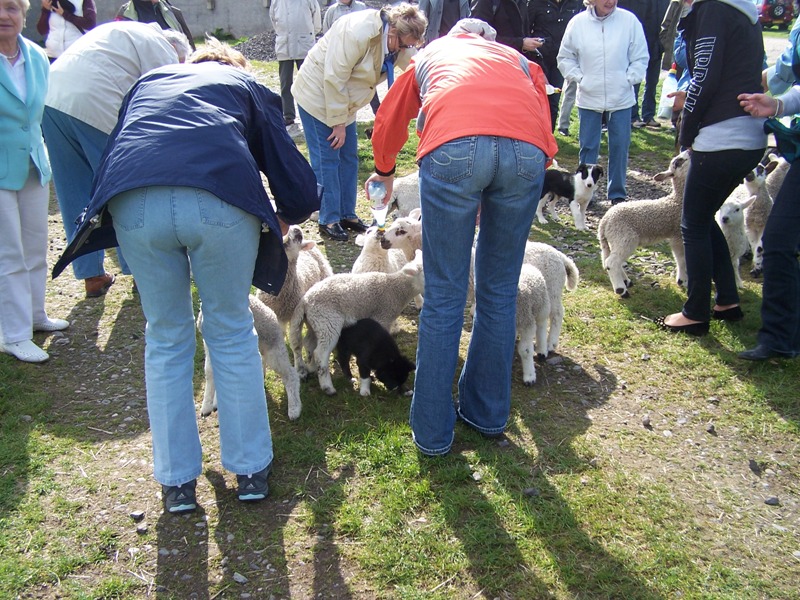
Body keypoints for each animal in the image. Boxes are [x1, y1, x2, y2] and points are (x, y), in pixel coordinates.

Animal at [290, 251, 424, 396]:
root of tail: (305, 301)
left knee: (309, 344)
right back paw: (328, 387)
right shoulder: (382, 317)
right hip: (328, 322)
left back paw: (312, 367)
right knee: (321, 353)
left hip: (316, 323)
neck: (396, 290)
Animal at [596, 150, 692, 298]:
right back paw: (621, 290)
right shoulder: (678, 234)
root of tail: (604, 222)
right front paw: (683, 280)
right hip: (624, 237)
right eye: (678, 161)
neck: (677, 201)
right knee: (612, 262)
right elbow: (681, 258)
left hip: (611, 241)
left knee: (608, 260)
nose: (689, 150)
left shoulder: (675, 235)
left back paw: (626, 281)